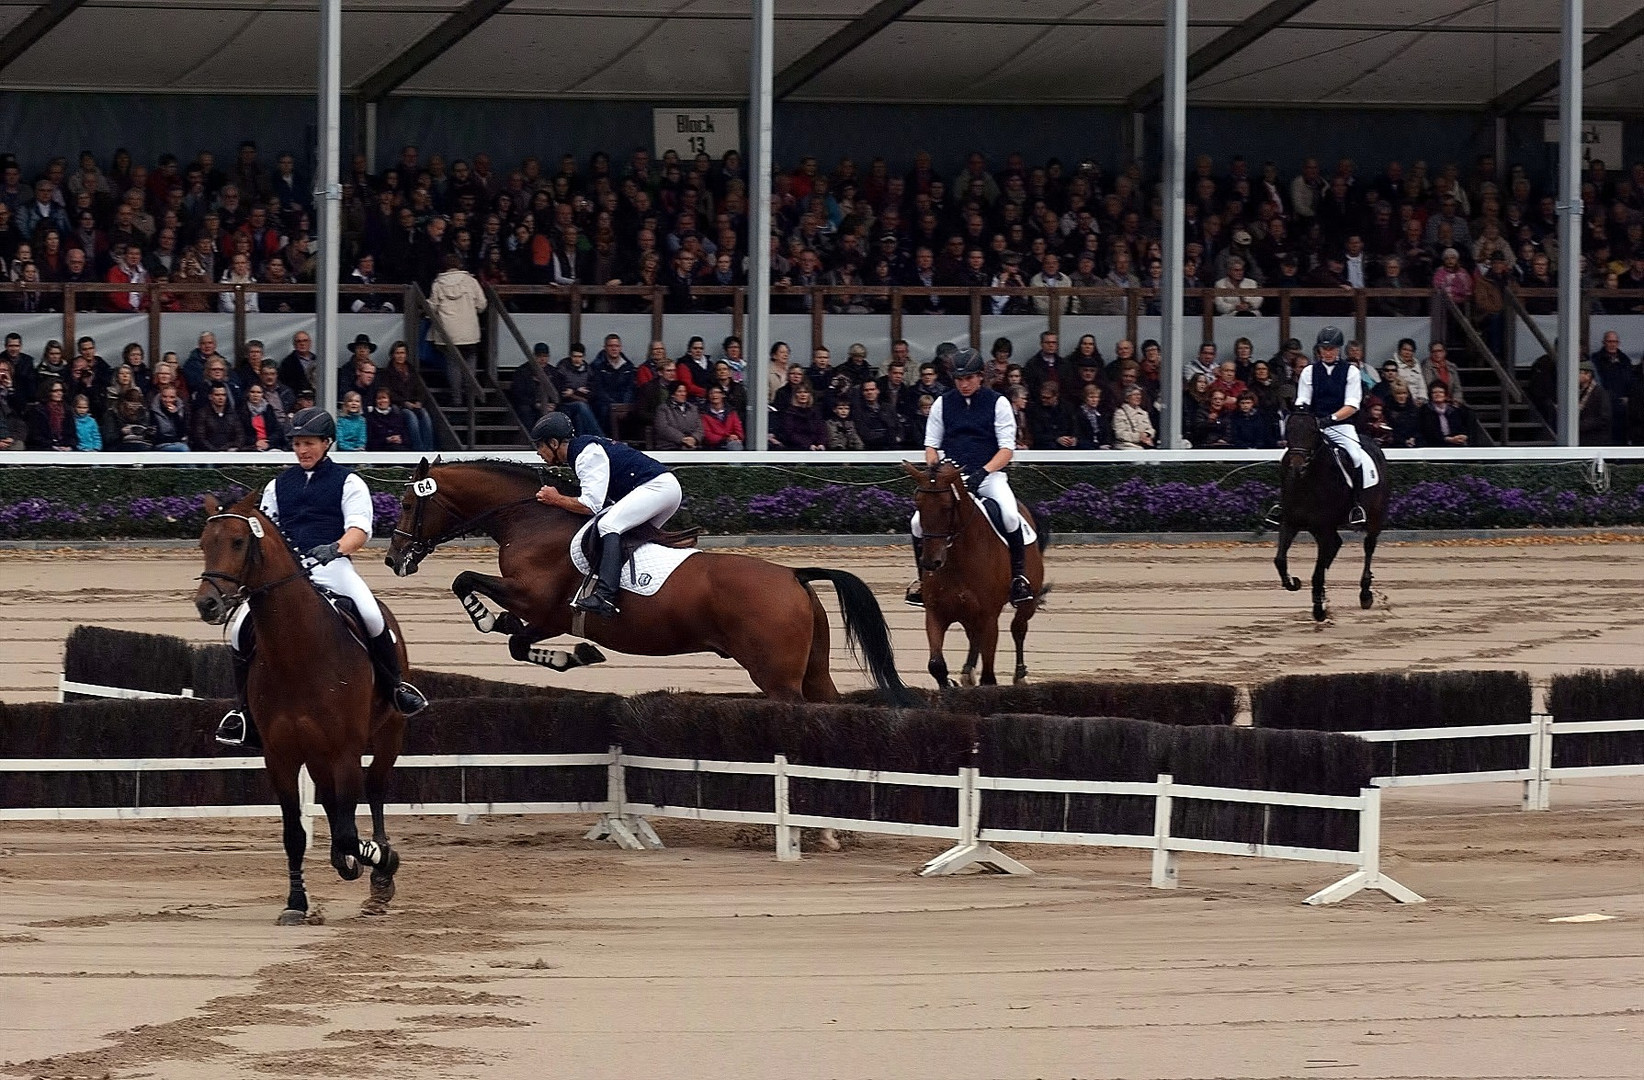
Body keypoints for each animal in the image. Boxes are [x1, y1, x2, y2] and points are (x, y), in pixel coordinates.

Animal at [193, 493, 407, 920]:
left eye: (238, 542)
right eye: (204, 542)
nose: (207, 604)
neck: (297, 649)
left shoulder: (345, 750)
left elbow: (348, 832)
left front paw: (378, 859)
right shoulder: (281, 755)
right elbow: (296, 833)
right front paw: (296, 902)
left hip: (387, 734)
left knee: (375, 790)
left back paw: (380, 879)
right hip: (316, 753)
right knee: (331, 803)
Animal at [381, 460, 914, 703]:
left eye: (407, 504)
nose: (391, 559)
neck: (528, 519)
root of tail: (793, 574)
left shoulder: (535, 599)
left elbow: (464, 580)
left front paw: (488, 620)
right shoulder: (550, 619)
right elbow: (518, 643)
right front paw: (577, 655)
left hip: (778, 678)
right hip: (814, 671)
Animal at [907, 460, 1045, 687]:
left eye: (947, 507)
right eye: (918, 504)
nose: (930, 562)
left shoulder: (989, 617)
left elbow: (988, 677)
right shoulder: (935, 613)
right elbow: (936, 665)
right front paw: (950, 684)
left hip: (1027, 602)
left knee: (1018, 628)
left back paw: (1020, 675)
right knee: (974, 637)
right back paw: (967, 671)